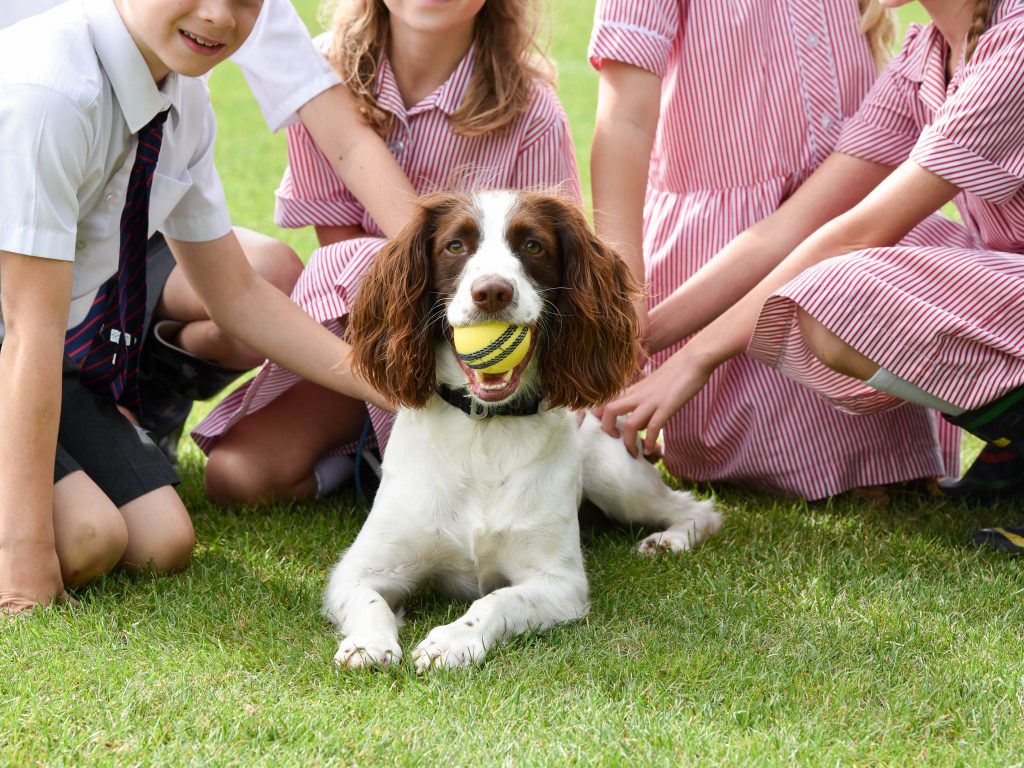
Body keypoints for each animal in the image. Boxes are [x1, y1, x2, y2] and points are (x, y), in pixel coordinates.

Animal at [325, 189, 720, 671]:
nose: (493, 292)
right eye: (455, 246)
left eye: (533, 246)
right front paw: (368, 644)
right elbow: (369, 601)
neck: (486, 428)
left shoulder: (559, 582)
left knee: (698, 509)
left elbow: (496, 601)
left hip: (615, 478)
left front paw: (452, 640)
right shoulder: (358, 568)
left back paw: (669, 539)